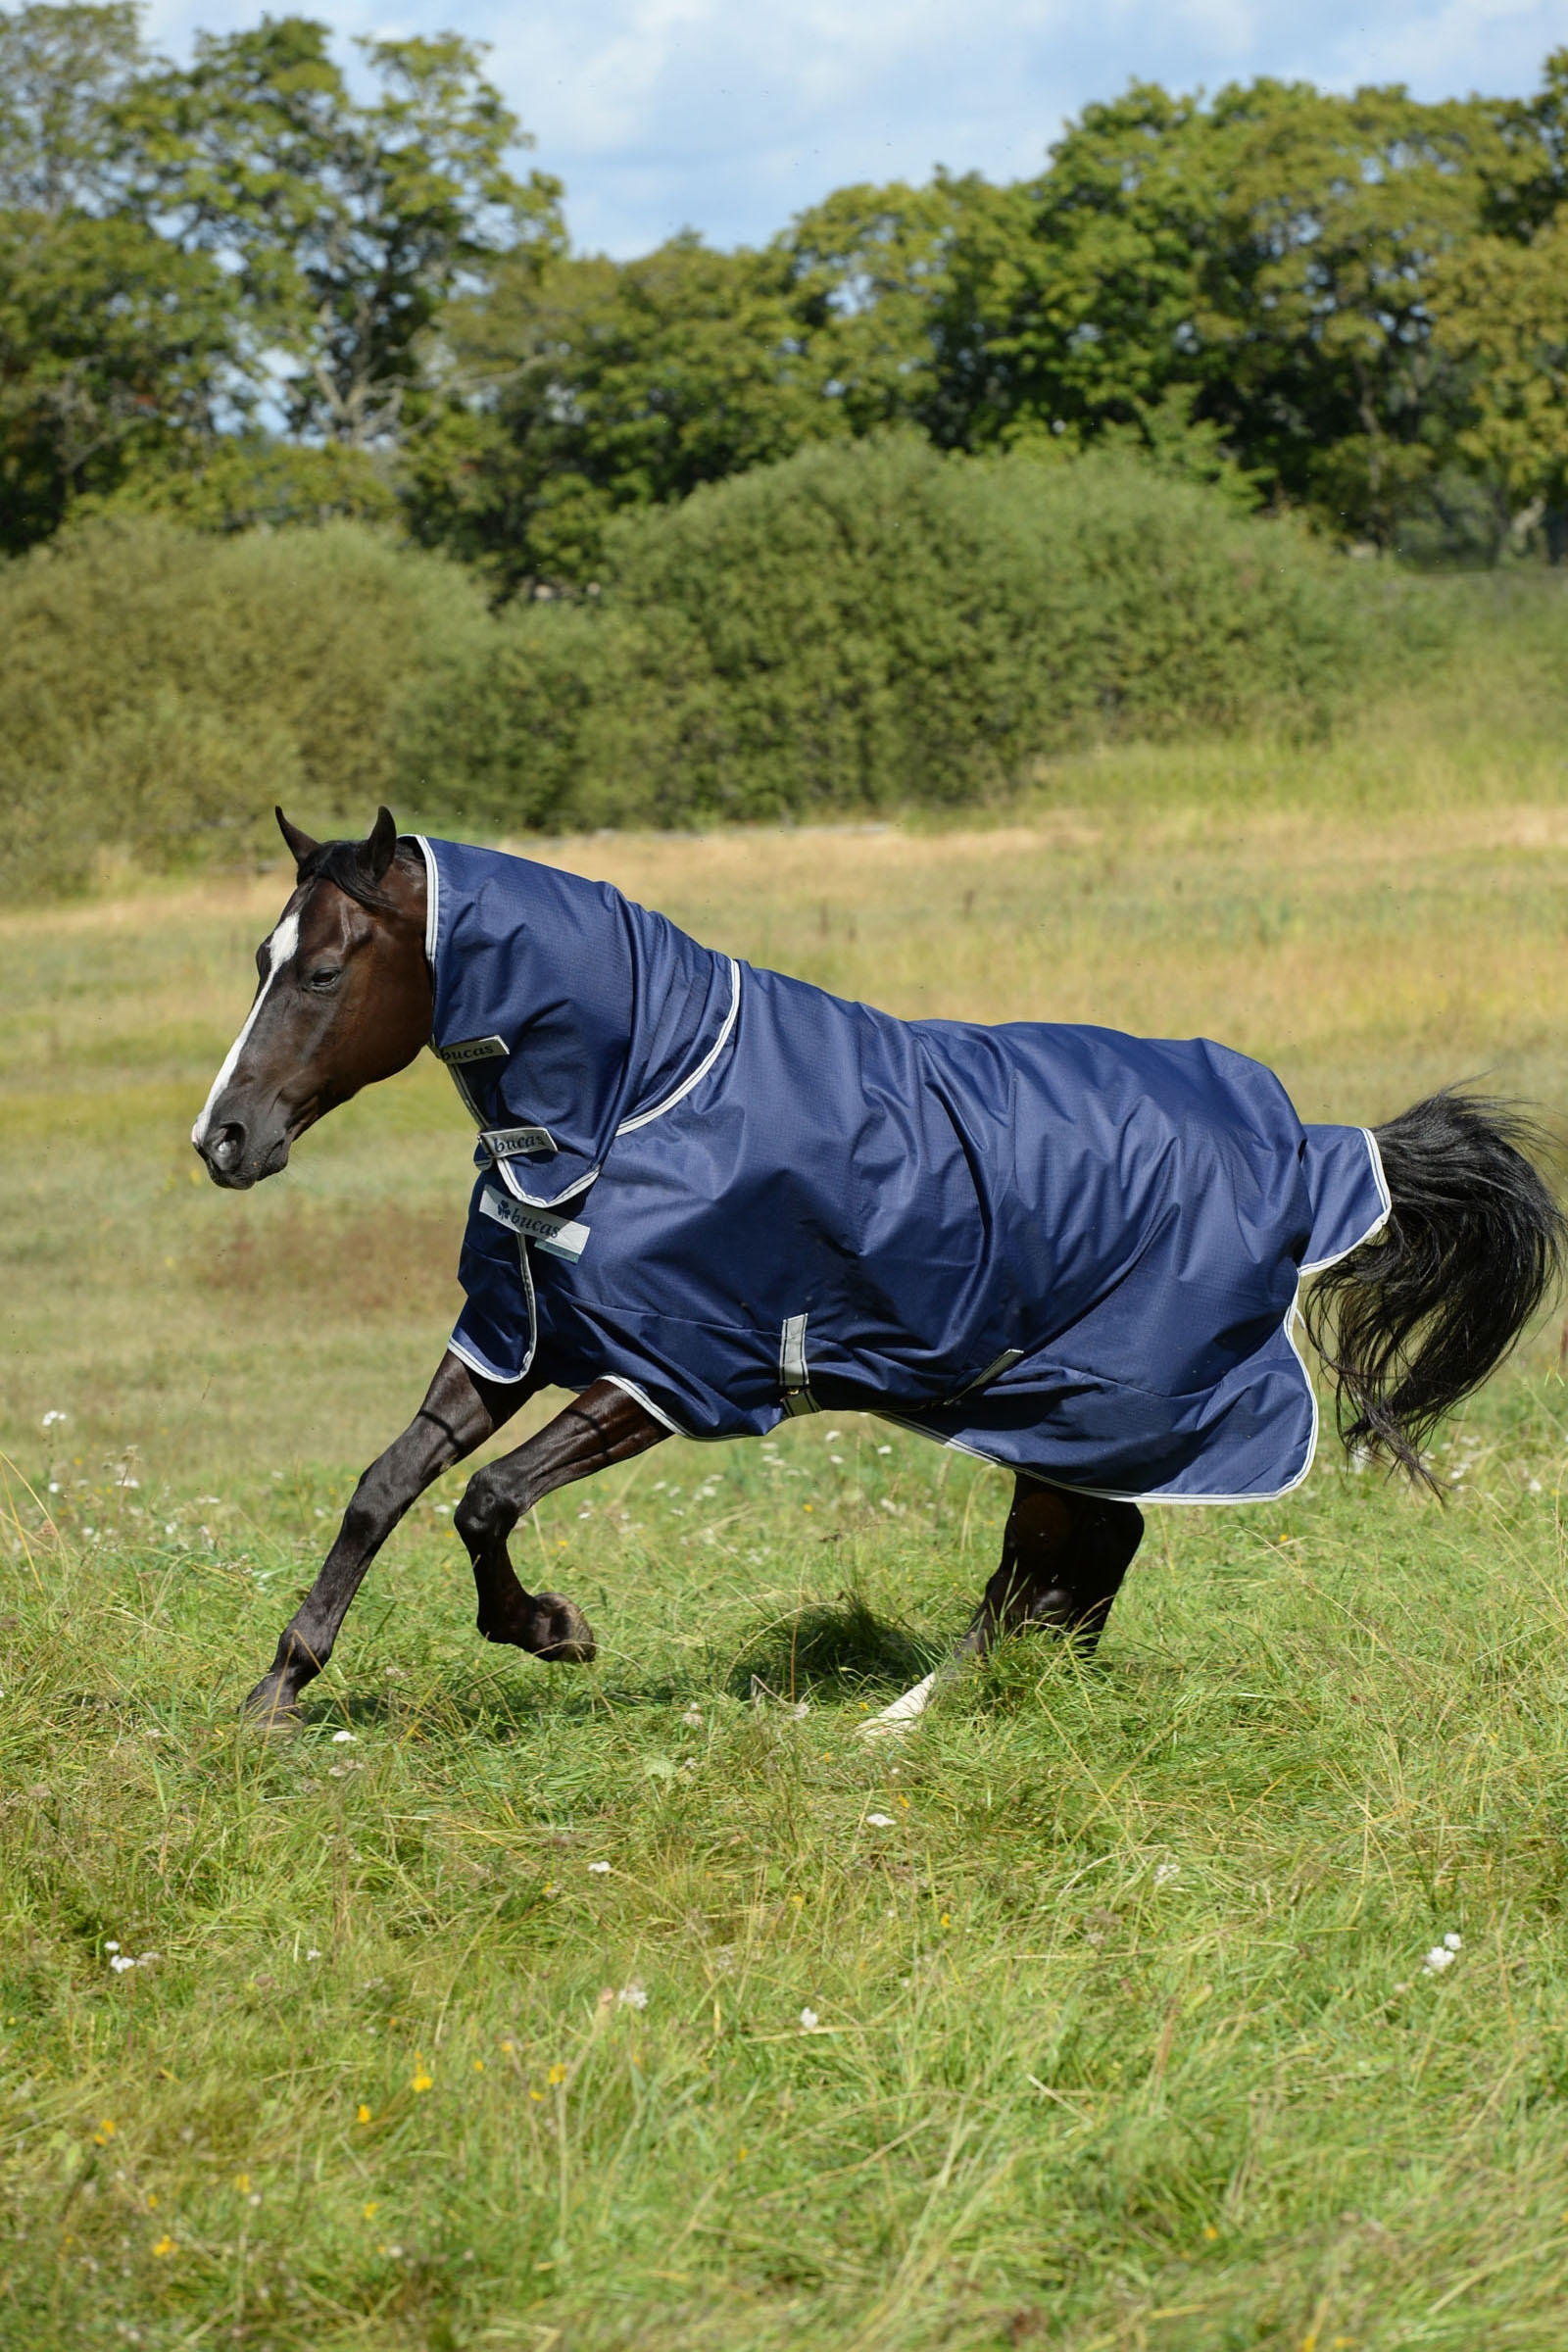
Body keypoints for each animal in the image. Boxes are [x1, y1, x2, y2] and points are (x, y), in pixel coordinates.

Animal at [193, 809, 1566, 1733]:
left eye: (323, 970)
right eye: (256, 961)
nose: (224, 1139)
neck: (637, 1096)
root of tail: (1312, 1145)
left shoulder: (669, 1374)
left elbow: (485, 1501)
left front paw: (552, 1633)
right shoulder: (517, 1339)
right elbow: (383, 1488)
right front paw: (280, 1686)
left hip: (1084, 1408)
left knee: (1051, 1562)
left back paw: (907, 1723)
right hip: (1054, 1415)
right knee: (1083, 1556)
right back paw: (986, 1701)